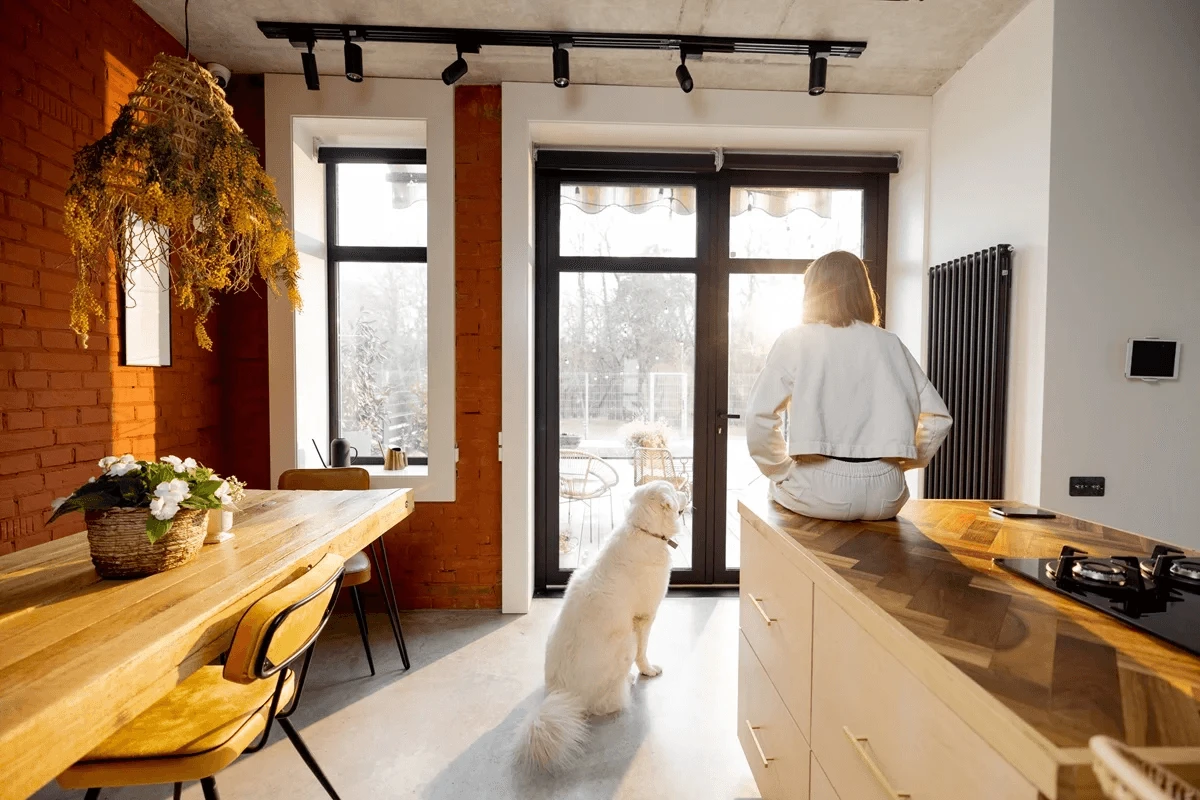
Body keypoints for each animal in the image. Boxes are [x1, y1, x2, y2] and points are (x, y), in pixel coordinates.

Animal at [513, 479, 686, 772]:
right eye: (674, 491)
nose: (686, 491)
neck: (644, 530)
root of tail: (563, 694)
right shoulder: (645, 616)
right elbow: (644, 652)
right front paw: (648, 670)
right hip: (625, 640)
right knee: (606, 703)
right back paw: (626, 684)